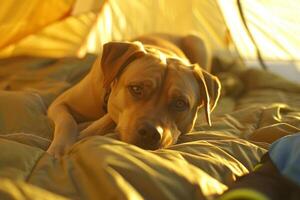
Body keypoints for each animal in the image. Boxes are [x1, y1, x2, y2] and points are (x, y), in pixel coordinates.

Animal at [46, 33, 220, 158]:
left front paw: (89, 129)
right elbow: (67, 121)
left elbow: (107, 119)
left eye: (180, 103)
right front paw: (60, 148)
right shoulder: (59, 103)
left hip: (198, 41)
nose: (150, 132)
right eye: (136, 89)